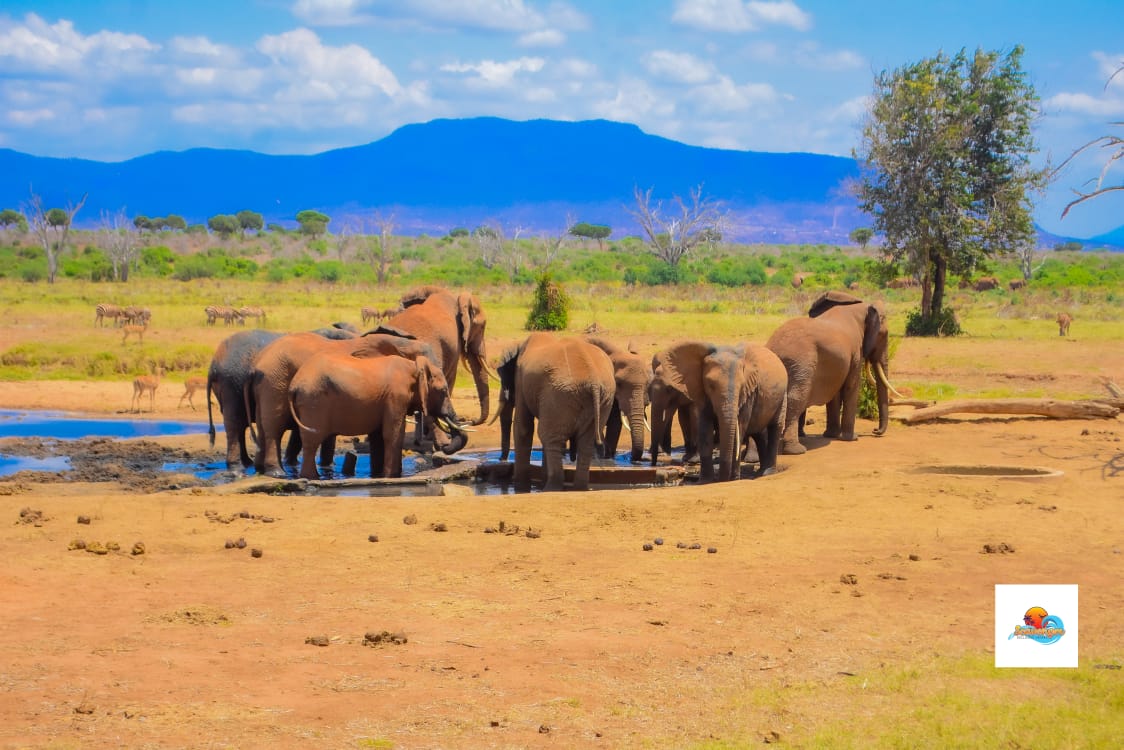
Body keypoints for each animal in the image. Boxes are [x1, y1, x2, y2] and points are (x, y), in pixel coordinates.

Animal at [246, 331, 445, 476]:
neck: (401, 343)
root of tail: (256, 365)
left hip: (267, 385)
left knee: (263, 427)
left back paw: (261, 469)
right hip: (275, 382)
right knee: (274, 427)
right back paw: (277, 473)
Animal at [288, 353, 467, 480]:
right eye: (443, 391)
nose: (444, 447)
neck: (414, 366)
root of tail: (293, 385)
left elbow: (378, 436)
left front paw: (379, 475)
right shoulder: (396, 396)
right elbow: (393, 434)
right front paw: (391, 477)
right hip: (313, 401)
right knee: (312, 441)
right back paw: (312, 477)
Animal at [495, 333, 615, 492]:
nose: (501, 459)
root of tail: (593, 380)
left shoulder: (521, 381)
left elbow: (523, 428)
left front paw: (520, 489)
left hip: (560, 394)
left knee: (549, 436)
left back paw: (550, 489)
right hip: (604, 398)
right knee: (585, 442)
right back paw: (579, 488)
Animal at [649, 340, 787, 482]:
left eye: (741, 386)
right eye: (710, 385)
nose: (653, 465)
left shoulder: (749, 393)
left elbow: (739, 429)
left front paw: (732, 479)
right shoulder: (701, 392)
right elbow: (704, 428)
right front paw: (705, 480)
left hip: (782, 397)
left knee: (775, 428)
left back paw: (767, 472)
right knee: (759, 433)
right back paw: (760, 471)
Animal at [766, 291, 898, 455]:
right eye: (883, 335)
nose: (875, 431)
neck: (862, 307)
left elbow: (834, 394)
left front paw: (831, 435)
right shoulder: (856, 352)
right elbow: (851, 386)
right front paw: (851, 438)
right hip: (802, 364)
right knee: (796, 399)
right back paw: (796, 450)